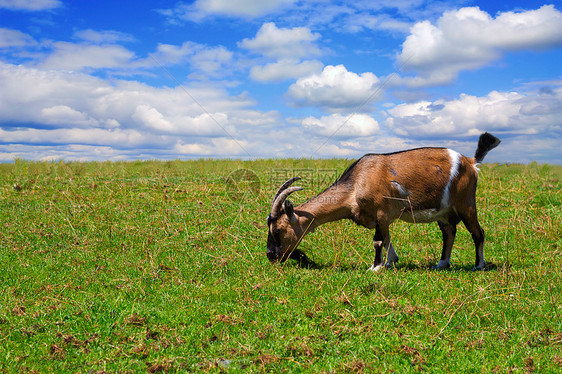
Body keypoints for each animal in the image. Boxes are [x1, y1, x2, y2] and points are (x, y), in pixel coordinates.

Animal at [266, 133, 498, 270]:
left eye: (277, 230)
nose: (270, 256)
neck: (357, 182)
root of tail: (471, 162)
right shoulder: (380, 218)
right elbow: (386, 239)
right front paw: (390, 262)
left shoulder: (381, 212)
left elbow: (378, 240)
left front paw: (375, 267)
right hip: (445, 211)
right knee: (449, 232)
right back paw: (442, 263)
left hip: (466, 203)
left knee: (478, 233)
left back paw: (478, 265)